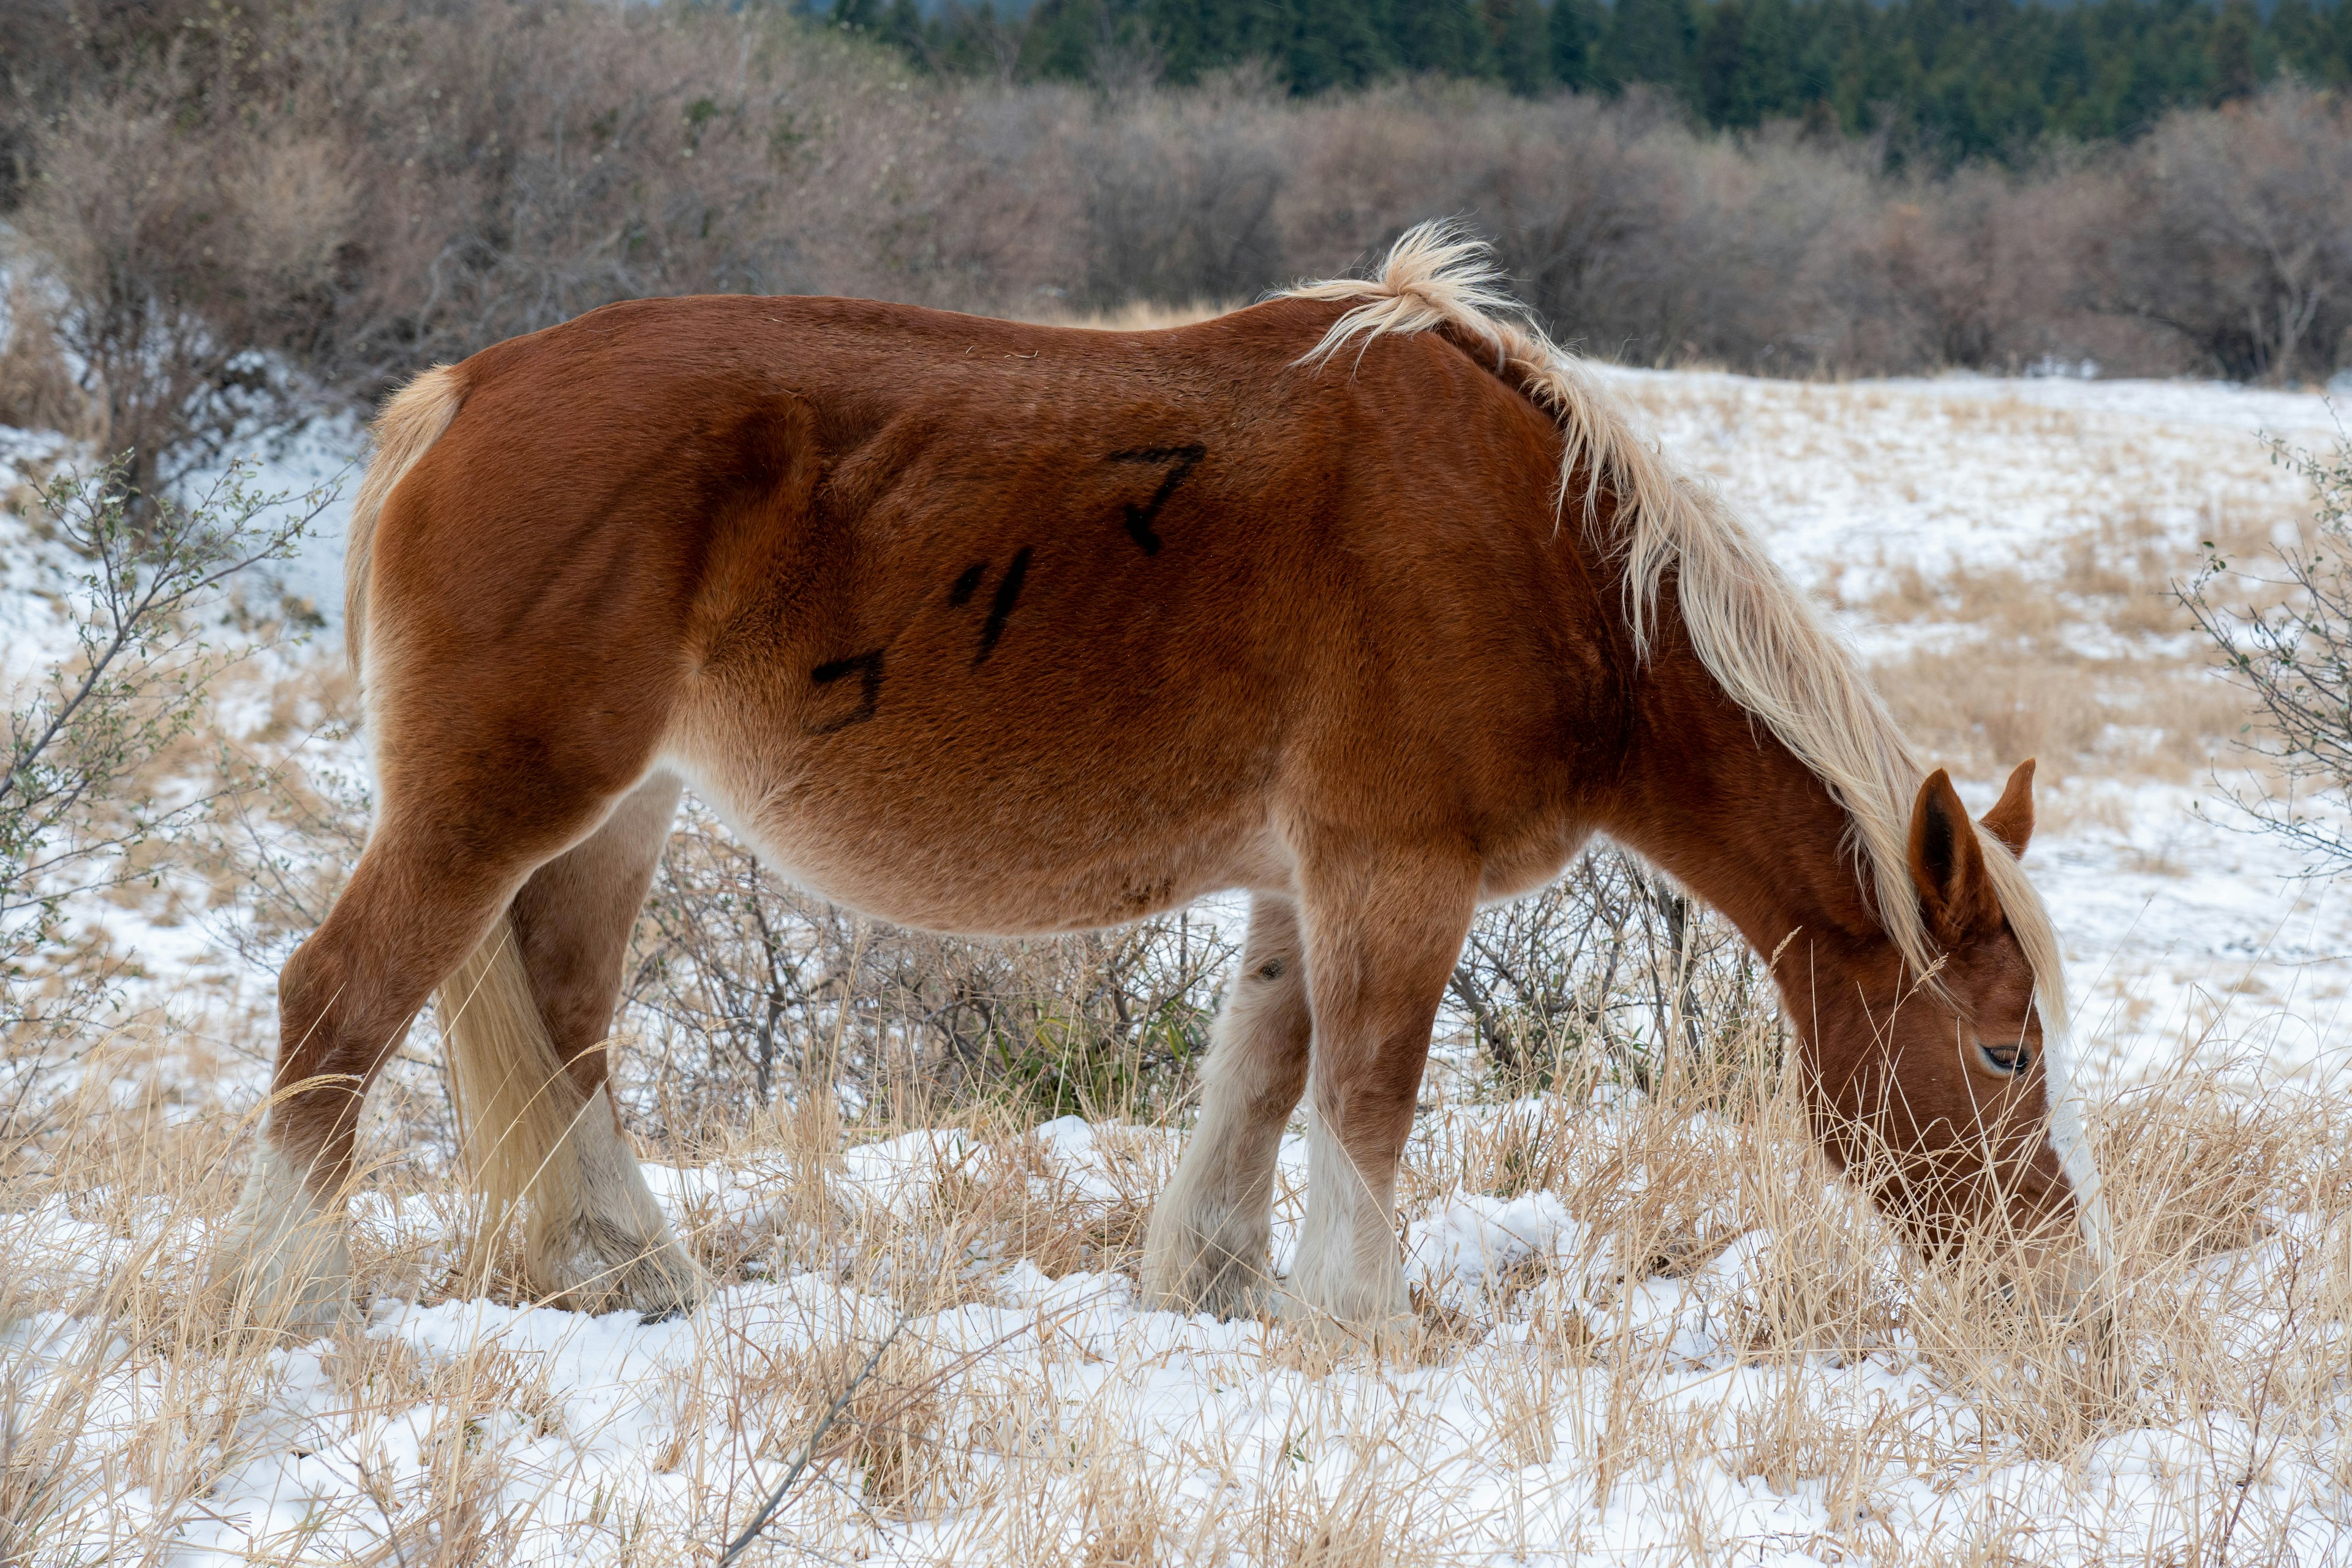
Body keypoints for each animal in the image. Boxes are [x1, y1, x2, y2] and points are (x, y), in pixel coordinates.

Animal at [211, 227, 2107, 1344]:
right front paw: (1356, 1329)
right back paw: (290, 1296)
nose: (2059, 1291)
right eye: (2003, 1051)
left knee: (565, 1025)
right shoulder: (1392, 877)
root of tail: (461, 392)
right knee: (339, 1002)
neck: (1549, 559)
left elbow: (1258, 1083)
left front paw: (1213, 1288)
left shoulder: (1299, 884)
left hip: (618, 817)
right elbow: (1362, 1099)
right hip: (494, 806)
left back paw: (635, 1275)